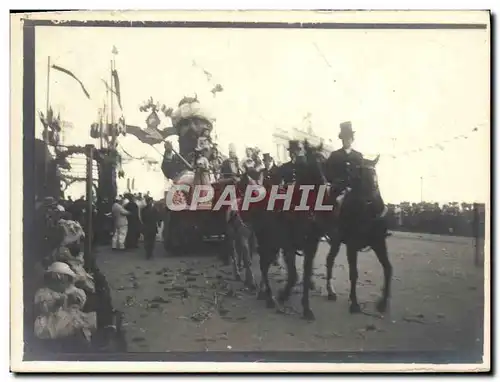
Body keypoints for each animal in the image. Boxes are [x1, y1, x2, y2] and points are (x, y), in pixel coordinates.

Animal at [254, 140, 328, 320]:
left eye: (324, 162)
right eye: (311, 163)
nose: (325, 187)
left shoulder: (310, 248)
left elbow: (306, 275)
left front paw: (306, 308)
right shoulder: (288, 246)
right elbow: (294, 275)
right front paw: (283, 295)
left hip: (273, 244)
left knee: (265, 263)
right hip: (266, 241)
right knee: (263, 264)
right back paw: (268, 296)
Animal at [324, 155, 394, 314]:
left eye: (374, 176)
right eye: (358, 175)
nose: (371, 199)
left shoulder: (379, 243)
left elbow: (388, 268)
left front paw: (383, 303)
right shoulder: (352, 246)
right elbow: (354, 273)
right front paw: (354, 303)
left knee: (329, 259)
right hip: (336, 241)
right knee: (330, 260)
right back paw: (330, 291)